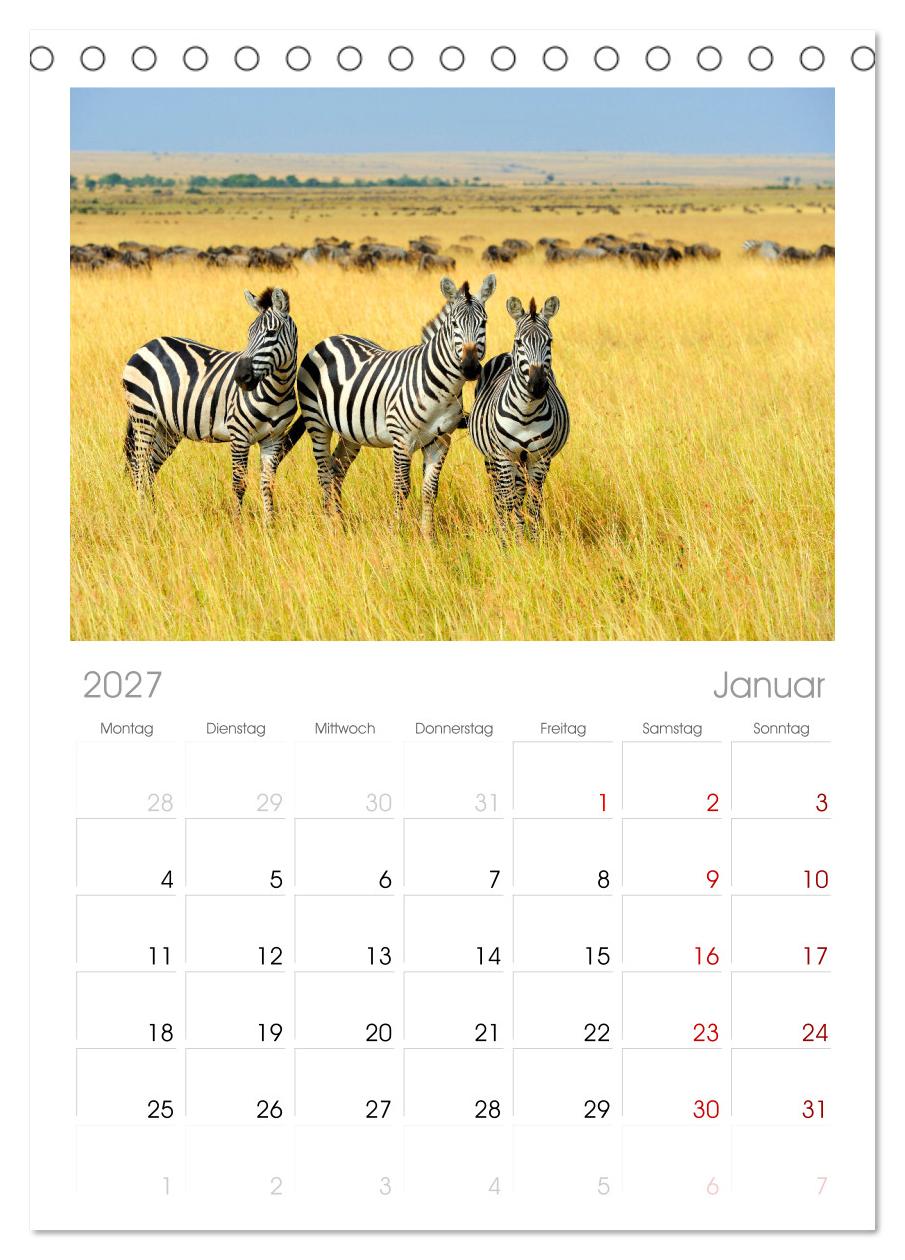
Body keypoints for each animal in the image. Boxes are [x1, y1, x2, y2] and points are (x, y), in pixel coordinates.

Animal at [122, 287, 298, 521]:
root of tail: (148, 344)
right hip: (143, 416)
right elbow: (239, 484)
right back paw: (144, 516)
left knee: (150, 469)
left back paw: (154, 514)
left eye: (271, 333)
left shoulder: (274, 438)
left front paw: (269, 526)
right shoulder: (239, 435)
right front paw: (237, 525)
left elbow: (268, 484)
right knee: (139, 468)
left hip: (167, 428)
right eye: (249, 333)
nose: (240, 377)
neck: (277, 392)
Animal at [276, 275, 497, 538]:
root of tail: (329, 339)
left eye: (484, 323)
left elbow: (430, 490)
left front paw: (428, 537)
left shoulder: (441, 441)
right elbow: (401, 488)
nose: (471, 368)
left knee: (337, 468)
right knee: (324, 473)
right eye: (454, 324)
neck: (442, 387)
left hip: (351, 431)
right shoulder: (402, 439)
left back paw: (340, 523)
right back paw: (330, 526)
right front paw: (396, 534)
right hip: (317, 421)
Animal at [468, 295, 569, 539]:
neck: (526, 412)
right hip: (493, 458)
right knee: (498, 492)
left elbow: (533, 502)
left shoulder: (540, 458)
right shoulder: (503, 455)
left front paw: (531, 539)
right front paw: (508, 540)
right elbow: (507, 499)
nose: (537, 385)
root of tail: (505, 354)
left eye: (549, 342)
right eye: (519, 342)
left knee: (521, 492)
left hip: (524, 461)